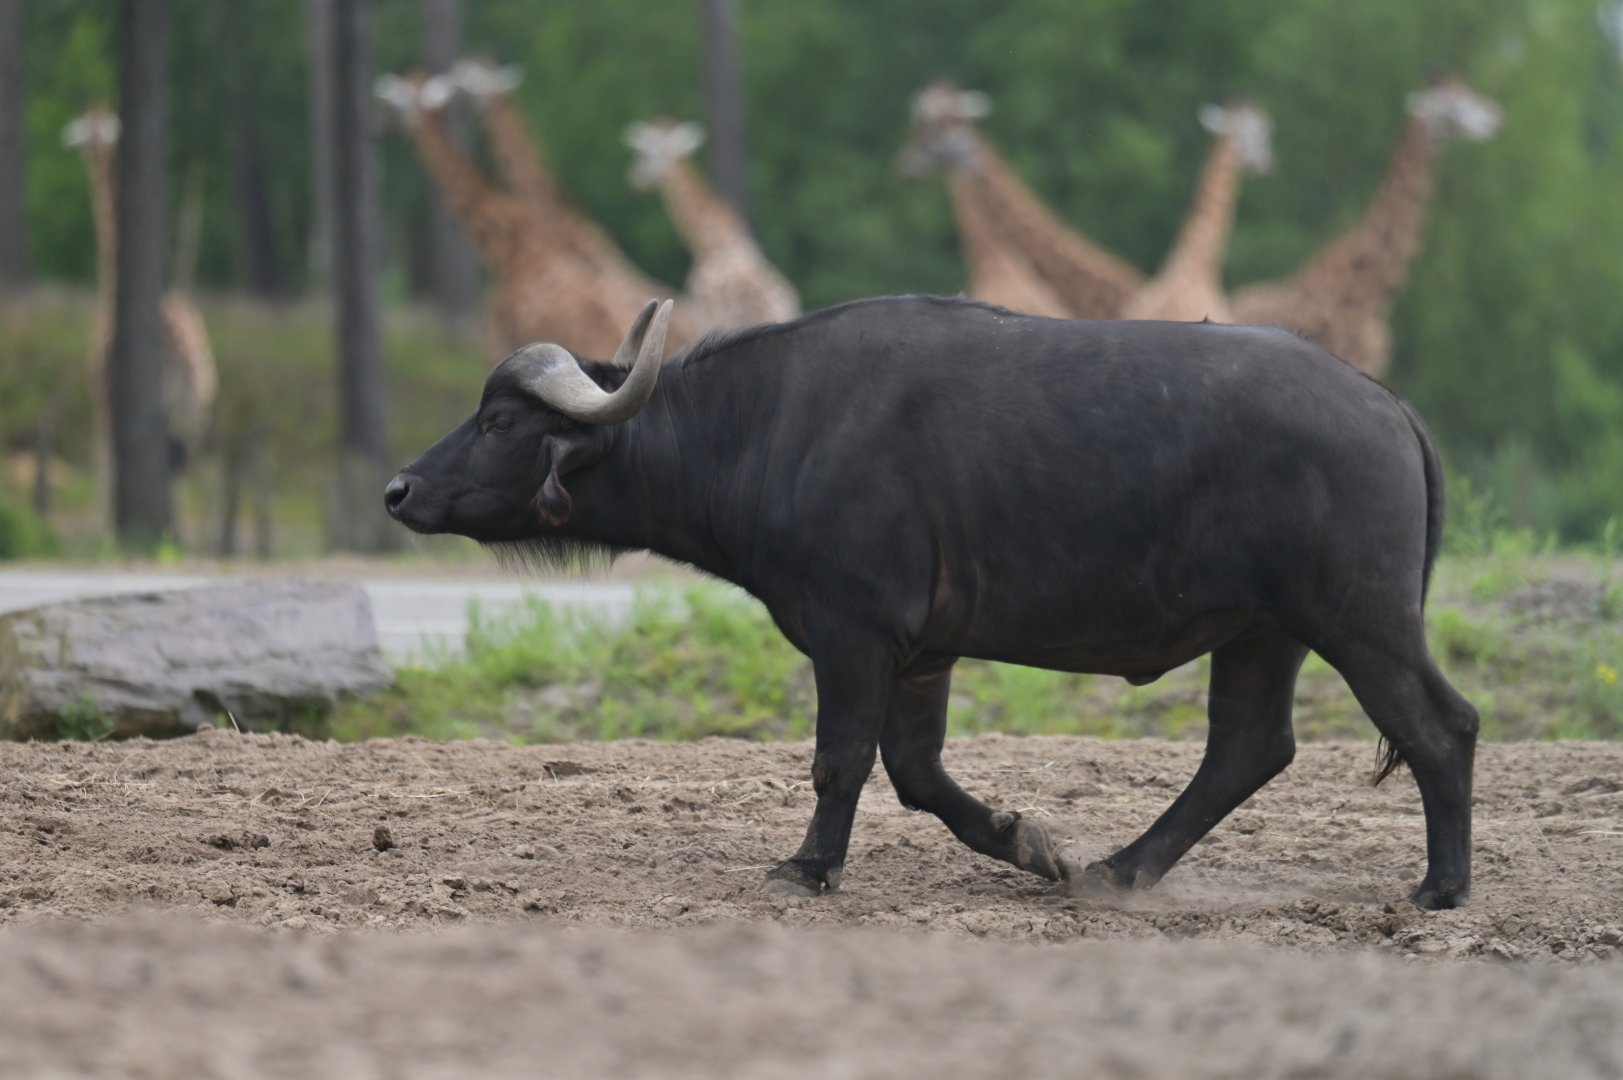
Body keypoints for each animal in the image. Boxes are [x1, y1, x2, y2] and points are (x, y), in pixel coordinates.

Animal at [385, 296, 1479, 909]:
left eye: (500, 420)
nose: (398, 490)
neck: (768, 428)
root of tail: (1385, 405)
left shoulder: (854, 633)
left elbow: (840, 760)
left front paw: (808, 868)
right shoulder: (923, 654)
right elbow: (916, 774)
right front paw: (1025, 843)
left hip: (1359, 620)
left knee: (1442, 727)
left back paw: (1441, 887)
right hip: (1261, 634)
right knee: (1248, 749)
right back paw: (1116, 871)